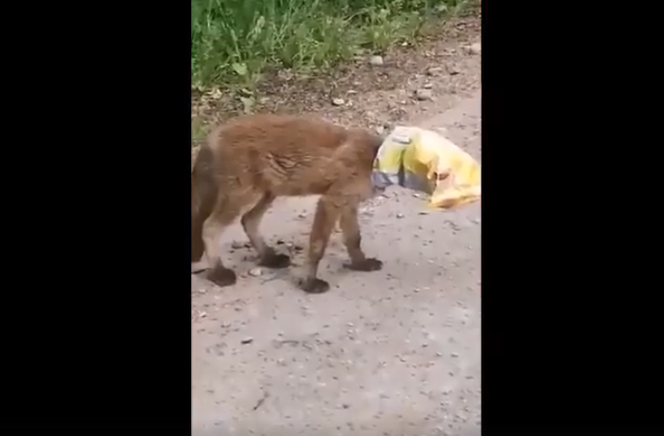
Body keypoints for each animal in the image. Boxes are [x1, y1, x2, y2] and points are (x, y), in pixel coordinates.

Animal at [191, 114, 384, 294]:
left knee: (249, 221)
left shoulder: (349, 203)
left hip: (267, 192)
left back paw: (269, 258)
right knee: (209, 227)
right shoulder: (331, 201)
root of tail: (214, 134)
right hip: (244, 195)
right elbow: (317, 247)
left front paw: (361, 264)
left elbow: (354, 239)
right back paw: (218, 271)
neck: (375, 159)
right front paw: (309, 282)